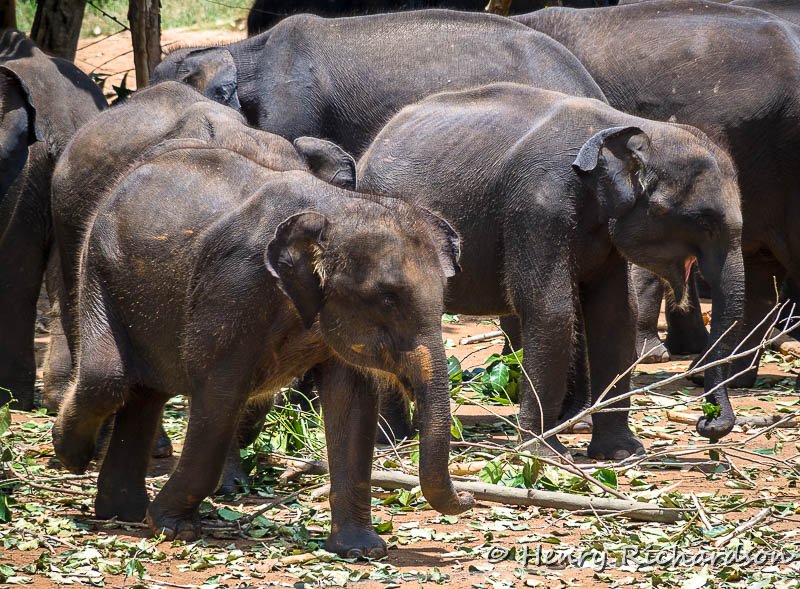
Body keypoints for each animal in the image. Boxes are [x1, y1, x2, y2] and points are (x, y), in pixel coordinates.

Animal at [50, 81, 474, 557]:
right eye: (387, 298)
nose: (471, 496)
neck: (332, 209)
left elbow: (351, 401)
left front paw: (361, 550)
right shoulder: (234, 287)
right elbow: (221, 392)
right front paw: (174, 527)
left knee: (144, 390)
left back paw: (119, 511)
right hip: (96, 261)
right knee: (108, 377)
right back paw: (73, 458)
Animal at [358, 83, 745, 456]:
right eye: (704, 222)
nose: (707, 424)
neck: (625, 125)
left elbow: (616, 315)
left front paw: (623, 453)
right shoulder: (538, 207)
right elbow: (550, 311)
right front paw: (543, 455)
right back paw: (393, 440)